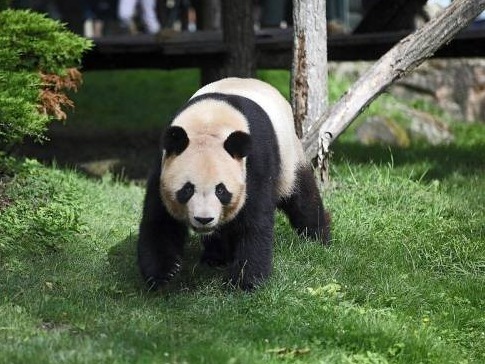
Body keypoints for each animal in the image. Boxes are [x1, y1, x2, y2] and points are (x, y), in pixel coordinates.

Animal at [138, 77, 330, 290]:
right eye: (187, 189)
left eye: (221, 190)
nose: (204, 219)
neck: (209, 121)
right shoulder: (163, 164)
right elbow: (160, 221)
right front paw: (163, 275)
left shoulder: (254, 163)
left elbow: (254, 221)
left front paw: (245, 282)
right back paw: (216, 257)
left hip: (289, 156)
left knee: (301, 197)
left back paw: (318, 238)